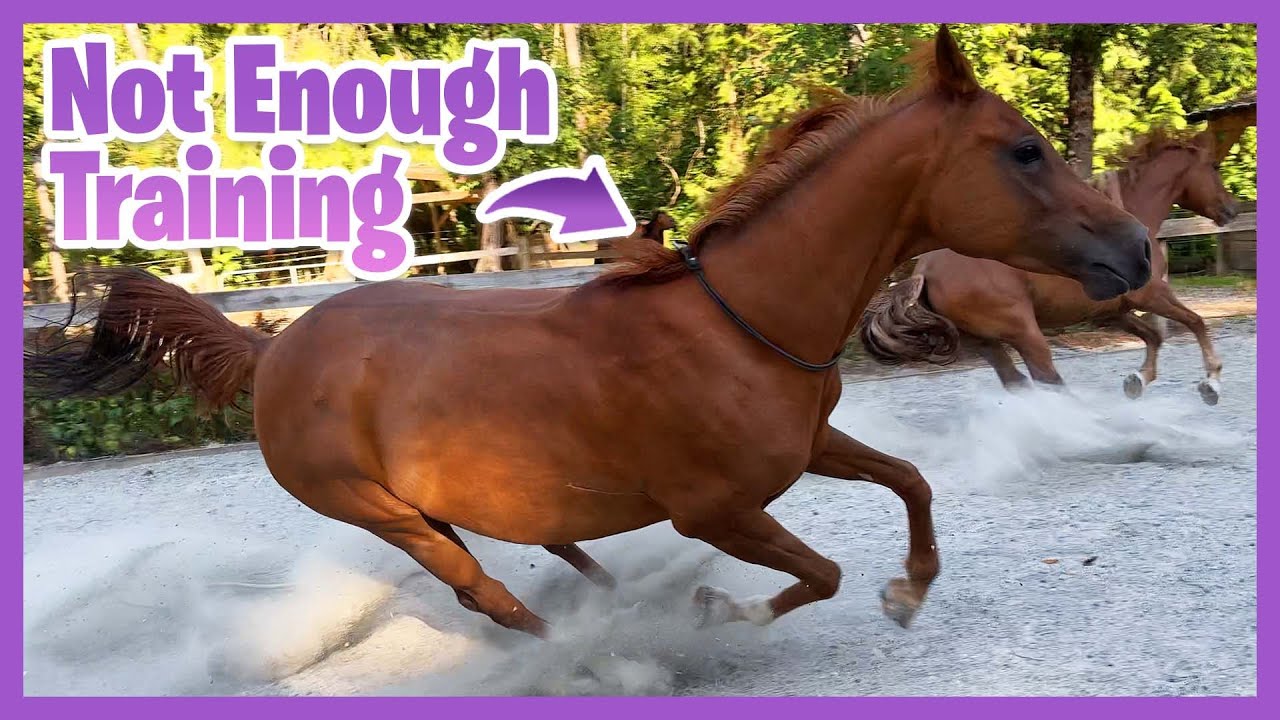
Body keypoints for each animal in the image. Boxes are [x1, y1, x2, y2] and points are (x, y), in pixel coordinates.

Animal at [24, 26, 1151, 639]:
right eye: (1023, 150)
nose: (1135, 250)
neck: (739, 326)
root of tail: (272, 353)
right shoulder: (715, 511)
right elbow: (819, 574)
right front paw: (722, 614)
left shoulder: (807, 446)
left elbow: (910, 480)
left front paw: (908, 592)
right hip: (381, 514)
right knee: (484, 594)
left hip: (441, 497)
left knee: (540, 542)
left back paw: (610, 601)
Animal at [859, 128, 1238, 404]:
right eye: (1215, 167)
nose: (1230, 209)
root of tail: (925, 270)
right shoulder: (1150, 295)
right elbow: (1196, 322)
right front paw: (1212, 383)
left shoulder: (1111, 312)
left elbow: (1154, 336)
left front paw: (1137, 381)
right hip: (1025, 333)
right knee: (1046, 378)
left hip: (985, 341)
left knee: (1018, 382)